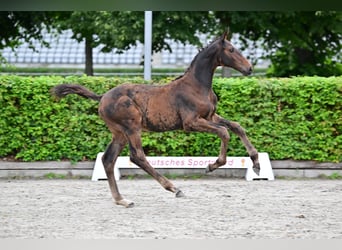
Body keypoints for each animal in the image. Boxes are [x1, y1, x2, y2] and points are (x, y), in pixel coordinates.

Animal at [51, 31, 260, 207]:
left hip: (119, 133)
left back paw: (121, 200)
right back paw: (173, 188)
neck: (197, 86)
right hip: (132, 127)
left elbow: (236, 126)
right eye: (231, 50)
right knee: (137, 156)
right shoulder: (191, 122)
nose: (249, 68)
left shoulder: (210, 116)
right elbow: (224, 132)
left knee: (108, 159)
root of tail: (102, 97)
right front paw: (211, 166)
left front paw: (256, 163)